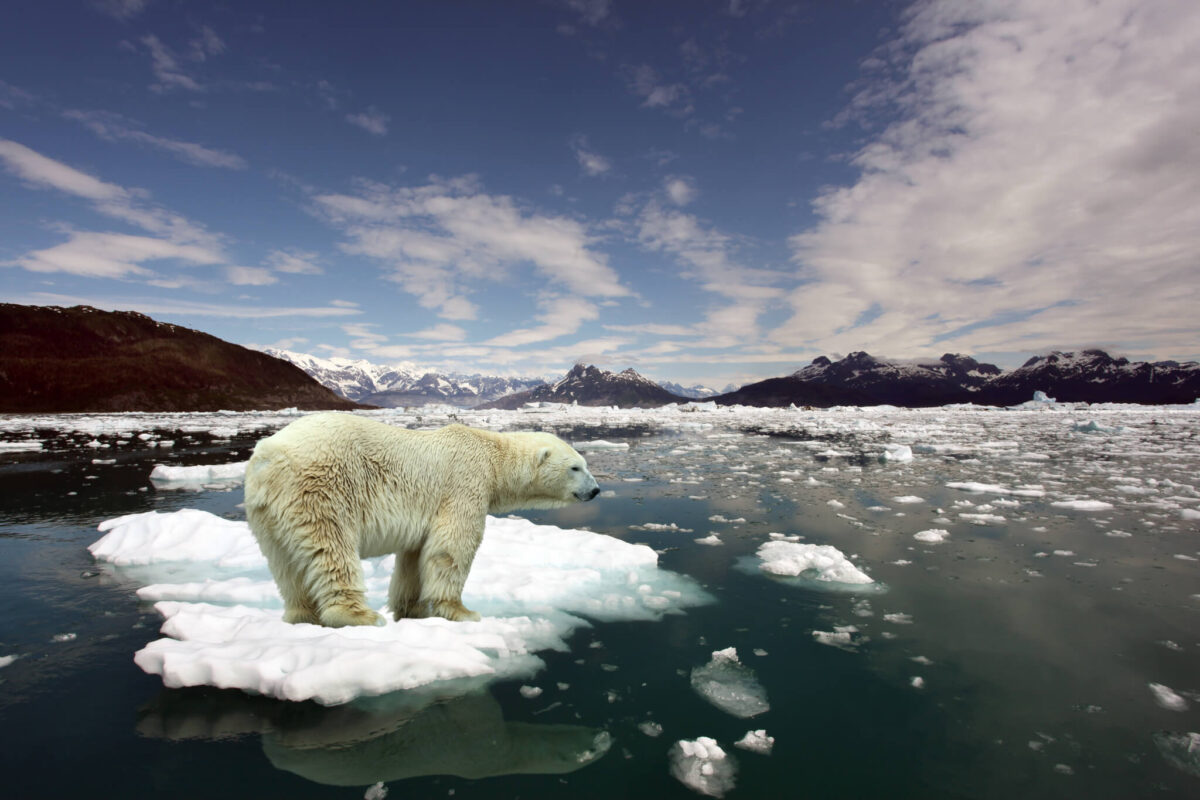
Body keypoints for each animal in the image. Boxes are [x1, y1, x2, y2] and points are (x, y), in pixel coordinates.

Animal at [243, 412, 601, 628]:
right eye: (576, 467)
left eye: (585, 464)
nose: (596, 490)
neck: (492, 455)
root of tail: (269, 456)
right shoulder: (464, 484)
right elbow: (452, 547)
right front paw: (462, 612)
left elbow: (414, 557)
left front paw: (411, 610)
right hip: (321, 488)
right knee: (331, 548)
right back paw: (359, 615)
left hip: (266, 512)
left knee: (285, 564)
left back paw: (301, 616)